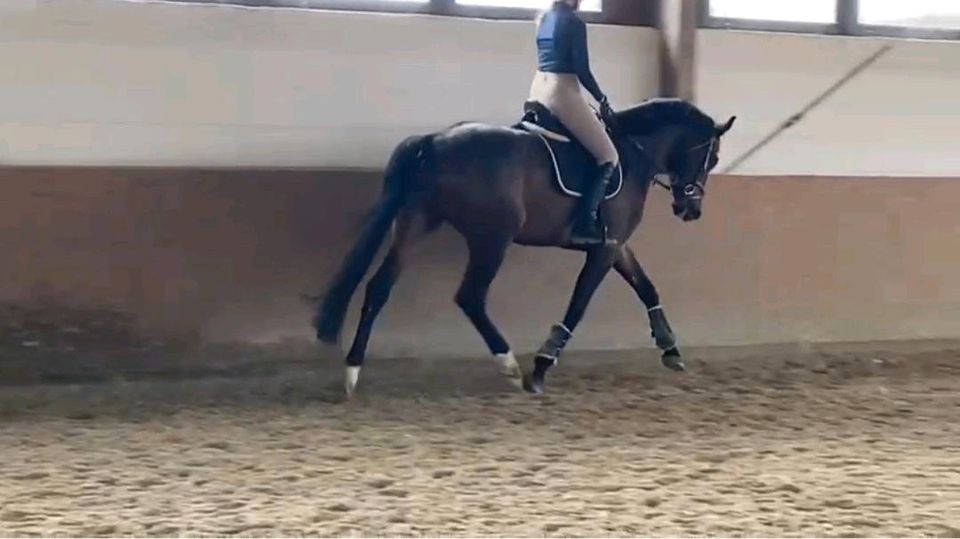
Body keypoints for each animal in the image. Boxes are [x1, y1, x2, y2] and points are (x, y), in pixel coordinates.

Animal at [316, 99, 736, 398]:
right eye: (711, 157)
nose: (690, 210)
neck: (633, 154)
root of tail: (434, 141)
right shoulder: (604, 249)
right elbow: (578, 305)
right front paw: (542, 366)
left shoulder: (616, 245)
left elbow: (646, 286)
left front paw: (670, 349)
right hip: (492, 237)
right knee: (470, 296)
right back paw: (510, 366)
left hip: (417, 222)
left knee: (379, 287)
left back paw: (352, 372)